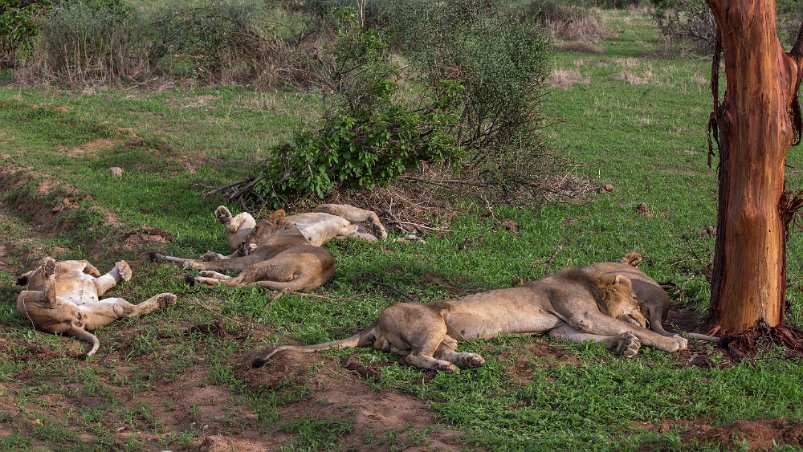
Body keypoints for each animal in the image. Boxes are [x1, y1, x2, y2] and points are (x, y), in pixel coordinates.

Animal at [13, 258, 177, 356]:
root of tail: (70, 327)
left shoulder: (95, 284)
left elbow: (97, 270)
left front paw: (123, 269)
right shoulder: (90, 280)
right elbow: (84, 262)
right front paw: (116, 269)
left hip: (110, 304)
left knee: (132, 311)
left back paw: (165, 299)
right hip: (24, 298)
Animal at [152, 211, 334, 292]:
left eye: (256, 228)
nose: (243, 243)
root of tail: (311, 276)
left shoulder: (253, 258)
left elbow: (222, 262)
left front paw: (193, 263)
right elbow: (222, 259)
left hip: (262, 264)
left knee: (237, 283)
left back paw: (202, 279)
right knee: (239, 280)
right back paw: (207, 275)